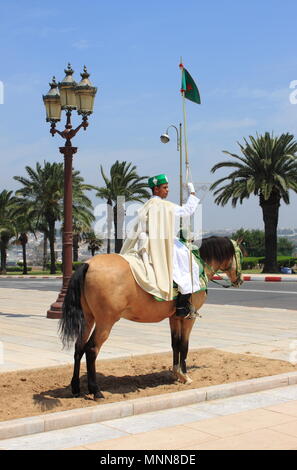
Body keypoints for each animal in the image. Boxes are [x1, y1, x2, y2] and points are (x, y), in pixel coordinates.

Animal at [59, 237, 242, 398]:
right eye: (240, 253)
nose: (239, 281)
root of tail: (88, 264)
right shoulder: (188, 318)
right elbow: (184, 345)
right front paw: (185, 376)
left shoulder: (174, 318)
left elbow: (175, 344)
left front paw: (176, 373)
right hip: (106, 322)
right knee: (91, 349)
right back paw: (96, 391)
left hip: (88, 318)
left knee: (79, 347)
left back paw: (75, 388)